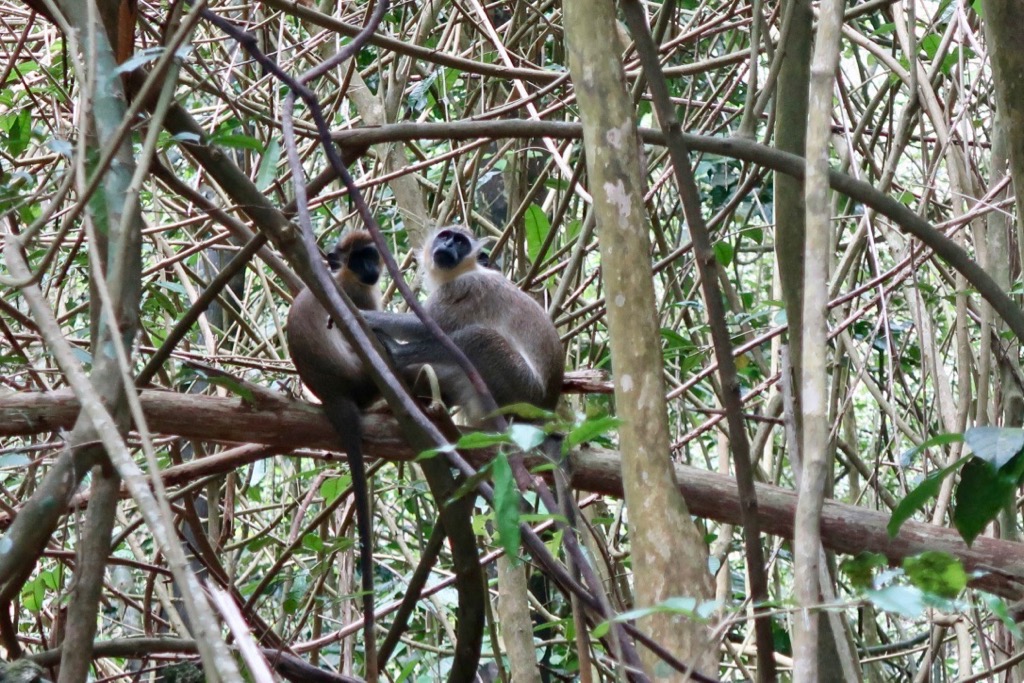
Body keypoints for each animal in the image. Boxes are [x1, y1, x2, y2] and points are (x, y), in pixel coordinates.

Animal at [363, 226, 563, 425]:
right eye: (445, 236)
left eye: (460, 242)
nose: (448, 244)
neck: (465, 270)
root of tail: (547, 409)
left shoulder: (463, 288)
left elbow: (429, 326)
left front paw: (368, 316)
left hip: (522, 390)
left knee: (480, 338)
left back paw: (398, 354)